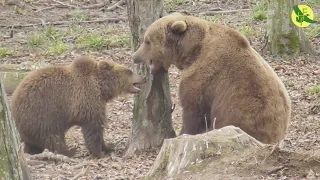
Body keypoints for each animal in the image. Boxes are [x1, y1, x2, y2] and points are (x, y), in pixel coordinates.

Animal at [10, 56, 146, 158]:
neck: (101, 88)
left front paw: (108, 147)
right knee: (53, 136)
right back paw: (69, 151)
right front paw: (99, 152)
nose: (143, 77)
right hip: (42, 113)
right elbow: (93, 128)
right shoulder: (87, 100)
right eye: (129, 71)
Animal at [131, 13, 292, 144]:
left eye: (147, 41)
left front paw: (182, 134)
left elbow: (194, 111)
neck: (191, 51)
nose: (134, 56)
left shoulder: (203, 78)